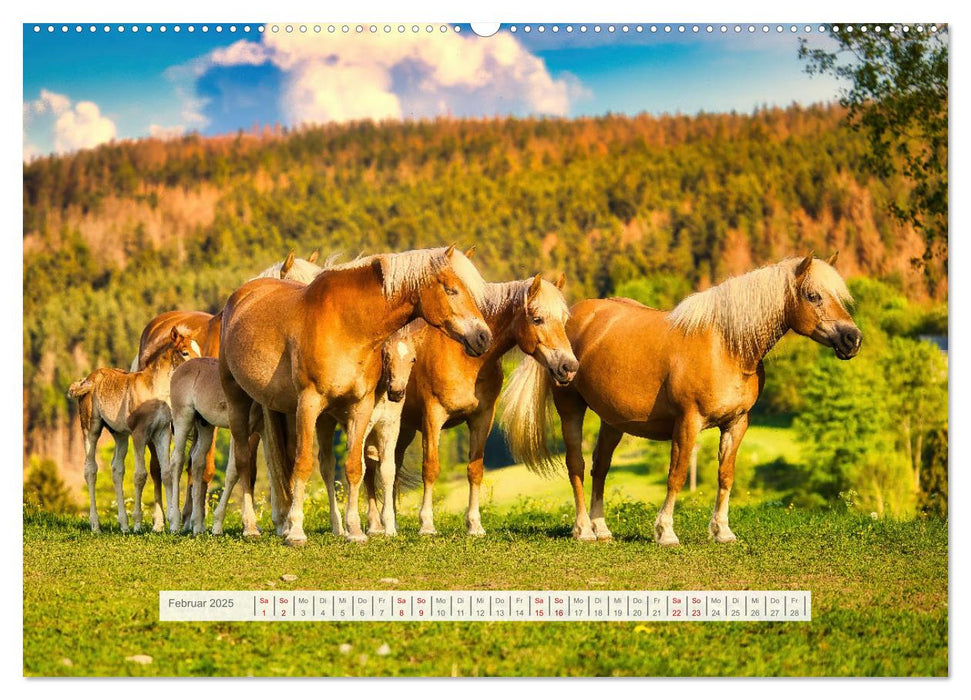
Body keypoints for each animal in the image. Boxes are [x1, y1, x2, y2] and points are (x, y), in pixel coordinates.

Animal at [66, 326, 199, 532]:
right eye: (184, 352)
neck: (154, 388)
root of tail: (87, 379)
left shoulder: (162, 432)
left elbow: (166, 473)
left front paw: (172, 522)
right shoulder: (139, 433)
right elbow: (140, 475)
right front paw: (138, 523)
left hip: (119, 434)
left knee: (117, 469)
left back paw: (123, 525)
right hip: (90, 427)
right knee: (90, 469)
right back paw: (96, 525)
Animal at [221, 249, 494, 544]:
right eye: (451, 289)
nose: (483, 337)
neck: (347, 325)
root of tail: (241, 295)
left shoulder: (360, 407)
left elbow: (354, 467)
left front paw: (354, 530)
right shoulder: (309, 403)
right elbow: (303, 464)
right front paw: (295, 531)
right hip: (239, 401)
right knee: (244, 462)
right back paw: (251, 526)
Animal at [386, 274, 584, 536]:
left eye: (563, 320)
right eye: (537, 319)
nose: (569, 367)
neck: (465, 358)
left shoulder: (482, 419)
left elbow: (475, 470)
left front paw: (474, 525)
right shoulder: (433, 417)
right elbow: (430, 468)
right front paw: (427, 524)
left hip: (405, 429)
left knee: (393, 466)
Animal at [504, 254, 860, 544]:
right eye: (813, 296)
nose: (852, 339)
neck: (726, 347)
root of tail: (569, 317)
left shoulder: (737, 424)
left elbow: (725, 476)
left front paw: (722, 531)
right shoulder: (688, 422)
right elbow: (676, 476)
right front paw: (665, 532)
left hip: (613, 421)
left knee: (600, 467)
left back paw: (601, 528)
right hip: (571, 409)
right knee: (576, 465)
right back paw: (583, 530)